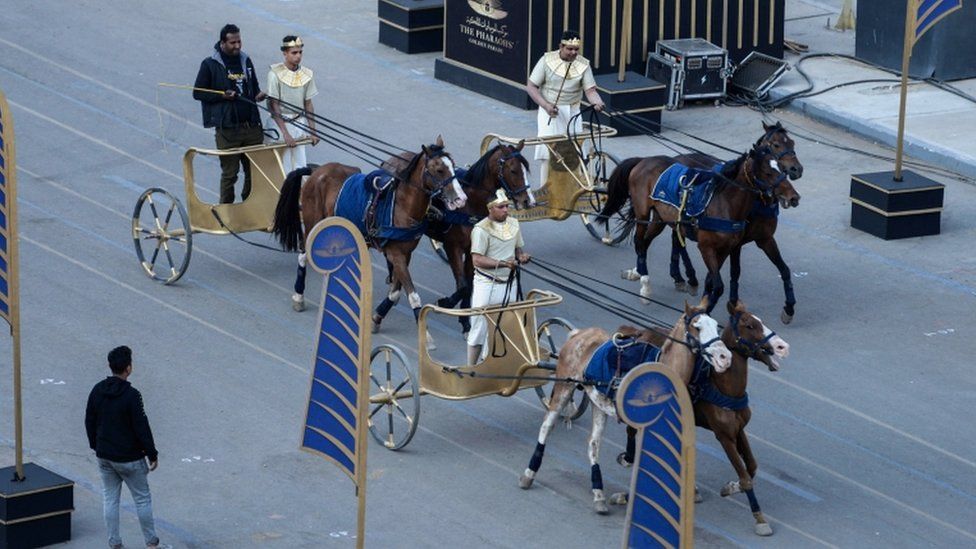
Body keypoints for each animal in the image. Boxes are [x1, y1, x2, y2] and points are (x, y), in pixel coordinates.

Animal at [266, 135, 466, 344]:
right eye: (439, 170)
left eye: (453, 165)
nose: (461, 198)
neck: (401, 206)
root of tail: (316, 171)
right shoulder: (396, 254)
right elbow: (413, 295)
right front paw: (425, 334)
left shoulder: (405, 254)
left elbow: (395, 292)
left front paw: (376, 318)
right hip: (313, 222)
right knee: (303, 256)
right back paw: (298, 296)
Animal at [382, 141, 532, 334]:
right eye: (513, 170)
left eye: (525, 169)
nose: (528, 200)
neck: (470, 205)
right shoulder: (453, 247)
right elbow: (463, 286)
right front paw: (445, 302)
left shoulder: (471, 250)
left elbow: (469, 285)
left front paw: (465, 320)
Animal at [520, 298, 732, 512]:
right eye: (697, 327)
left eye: (716, 325)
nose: (725, 357)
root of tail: (579, 334)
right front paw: (629, 495)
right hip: (564, 386)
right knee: (547, 426)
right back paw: (529, 473)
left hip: (598, 401)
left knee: (593, 443)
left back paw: (598, 492)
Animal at [604, 122, 800, 314]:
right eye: (767, 172)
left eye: (792, 143)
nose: (794, 196)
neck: (726, 203)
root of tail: (644, 160)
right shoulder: (708, 247)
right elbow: (721, 283)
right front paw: (708, 309)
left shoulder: (748, 242)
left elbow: (781, 270)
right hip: (643, 213)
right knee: (641, 241)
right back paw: (648, 283)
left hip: (661, 218)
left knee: (650, 242)